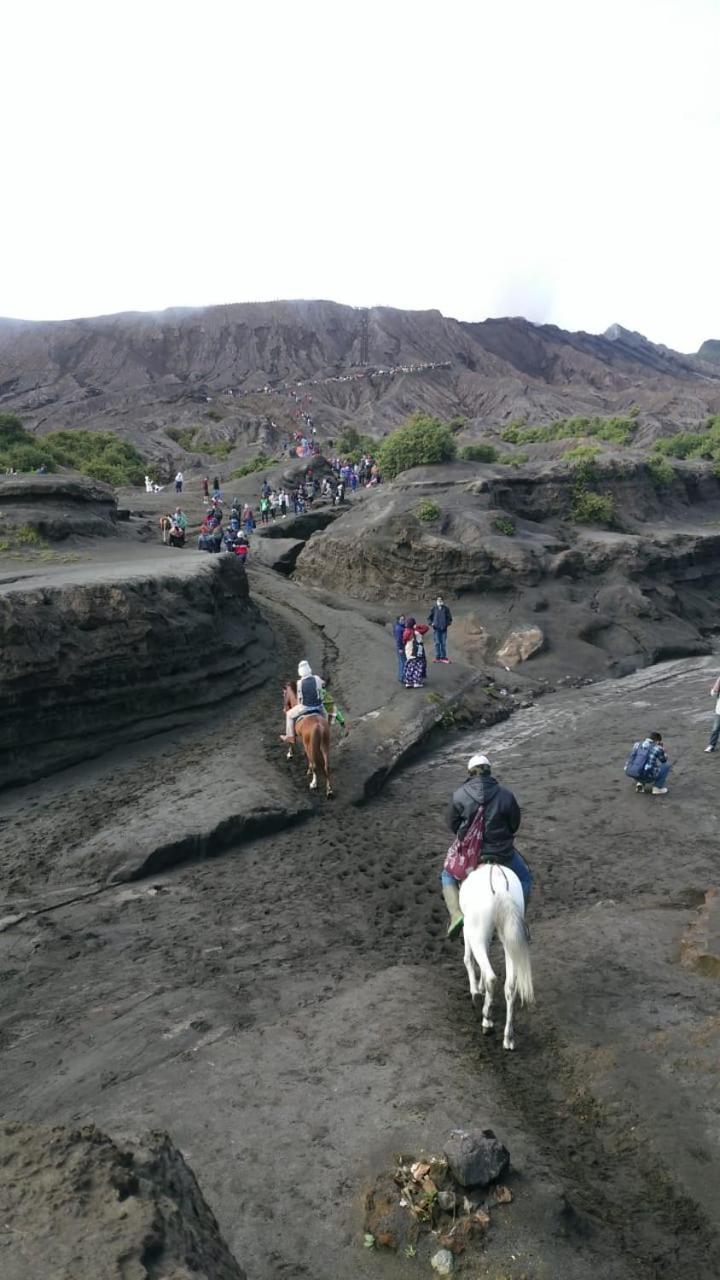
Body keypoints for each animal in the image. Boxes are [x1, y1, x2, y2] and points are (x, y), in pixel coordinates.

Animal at [456, 860, 530, 1049]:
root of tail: (500, 885)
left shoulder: (468, 929)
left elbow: (468, 959)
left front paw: (476, 991)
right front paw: (479, 987)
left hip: (476, 933)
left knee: (491, 977)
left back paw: (487, 1021)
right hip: (510, 941)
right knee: (510, 987)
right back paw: (508, 1038)